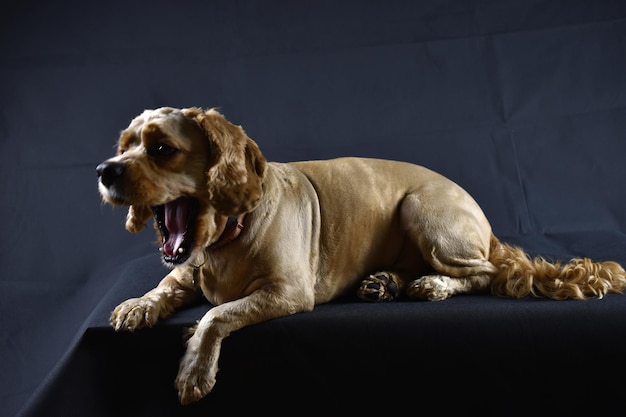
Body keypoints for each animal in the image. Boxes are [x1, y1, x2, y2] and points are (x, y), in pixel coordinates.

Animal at [96, 106, 624, 404]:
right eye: (125, 146)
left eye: (161, 149)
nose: (105, 170)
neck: (224, 238)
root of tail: (485, 222)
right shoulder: (187, 272)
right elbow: (165, 285)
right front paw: (139, 305)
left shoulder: (288, 292)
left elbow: (216, 315)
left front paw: (194, 368)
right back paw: (385, 283)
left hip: (424, 212)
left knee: (487, 272)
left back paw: (430, 285)